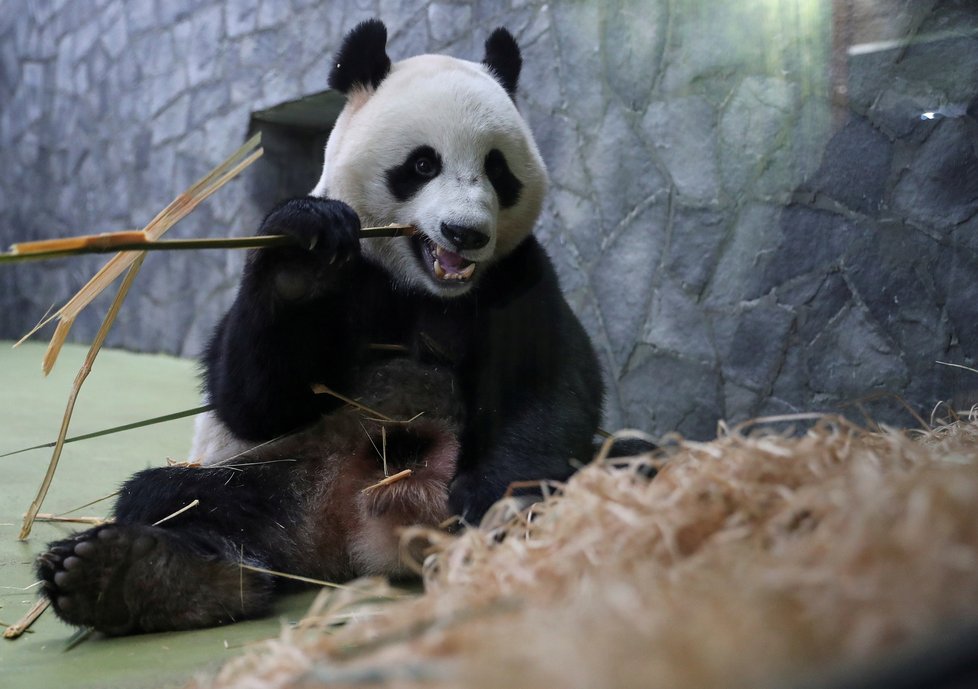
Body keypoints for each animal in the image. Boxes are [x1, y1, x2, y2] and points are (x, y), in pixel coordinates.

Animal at [36, 20, 604, 636]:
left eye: (497, 170)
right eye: (422, 165)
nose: (466, 233)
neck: (423, 288)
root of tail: (353, 540)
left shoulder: (518, 275)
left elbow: (547, 389)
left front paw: (494, 504)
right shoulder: (349, 279)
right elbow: (255, 400)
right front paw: (301, 260)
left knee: (625, 454)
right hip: (280, 472)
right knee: (180, 497)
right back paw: (142, 576)